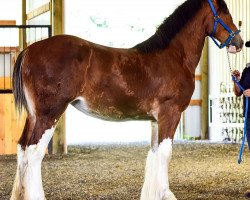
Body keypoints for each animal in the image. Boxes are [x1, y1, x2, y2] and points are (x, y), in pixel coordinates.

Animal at [9, 0, 242, 200]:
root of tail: (30, 50)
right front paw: (166, 194)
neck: (175, 56)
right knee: (34, 153)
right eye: (224, 11)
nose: (239, 42)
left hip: (34, 116)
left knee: (22, 149)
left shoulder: (155, 120)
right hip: (49, 114)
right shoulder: (171, 114)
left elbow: (154, 154)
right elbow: (165, 154)